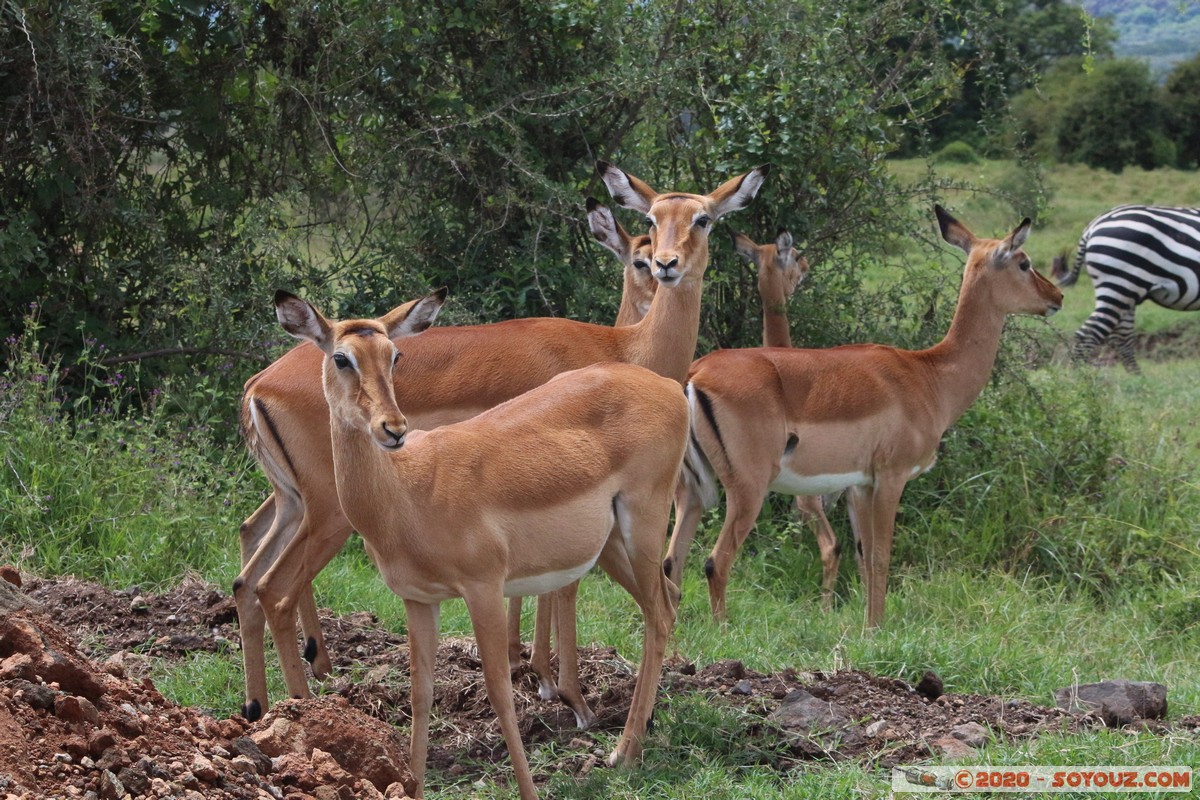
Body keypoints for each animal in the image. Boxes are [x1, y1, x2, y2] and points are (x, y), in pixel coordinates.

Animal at [234, 163, 768, 724]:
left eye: (703, 218)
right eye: (651, 221)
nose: (667, 266)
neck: (622, 348)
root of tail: (259, 385)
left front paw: (534, 672)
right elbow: (563, 586)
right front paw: (561, 689)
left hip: (293, 502)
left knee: (247, 567)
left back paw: (258, 703)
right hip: (328, 512)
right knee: (274, 589)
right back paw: (298, 702)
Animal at [272, 289, 686, 800]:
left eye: (395, 355)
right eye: (341, 357)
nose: (393, 428)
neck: (409, 491)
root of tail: (667, 386)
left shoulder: (484, 589)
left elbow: (500, 692)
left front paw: (529, 791)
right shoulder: (418, 599)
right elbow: (421, 693)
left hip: (644, 526)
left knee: (659, 615)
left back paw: (623, 754)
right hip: (610, 546)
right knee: (667, 601)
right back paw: (637, 740)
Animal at [662, 205, 1065, 623]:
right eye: (1023, 261)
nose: (1057, 295)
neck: (930, 375)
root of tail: (695, 375)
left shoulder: (860, 485)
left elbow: (865, 556)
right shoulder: (891, 478)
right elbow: (881, 557)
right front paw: (875, 629)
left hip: (692, 491)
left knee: (671, 564)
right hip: (748, 488)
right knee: (715, 562)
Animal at [1056, 203, 1200, 371]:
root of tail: (1092, 226)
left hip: (1126, 291)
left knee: (1122, 338)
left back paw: (1139, 378)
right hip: (1120, 283)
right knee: (1089, 334)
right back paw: (1076, 375)